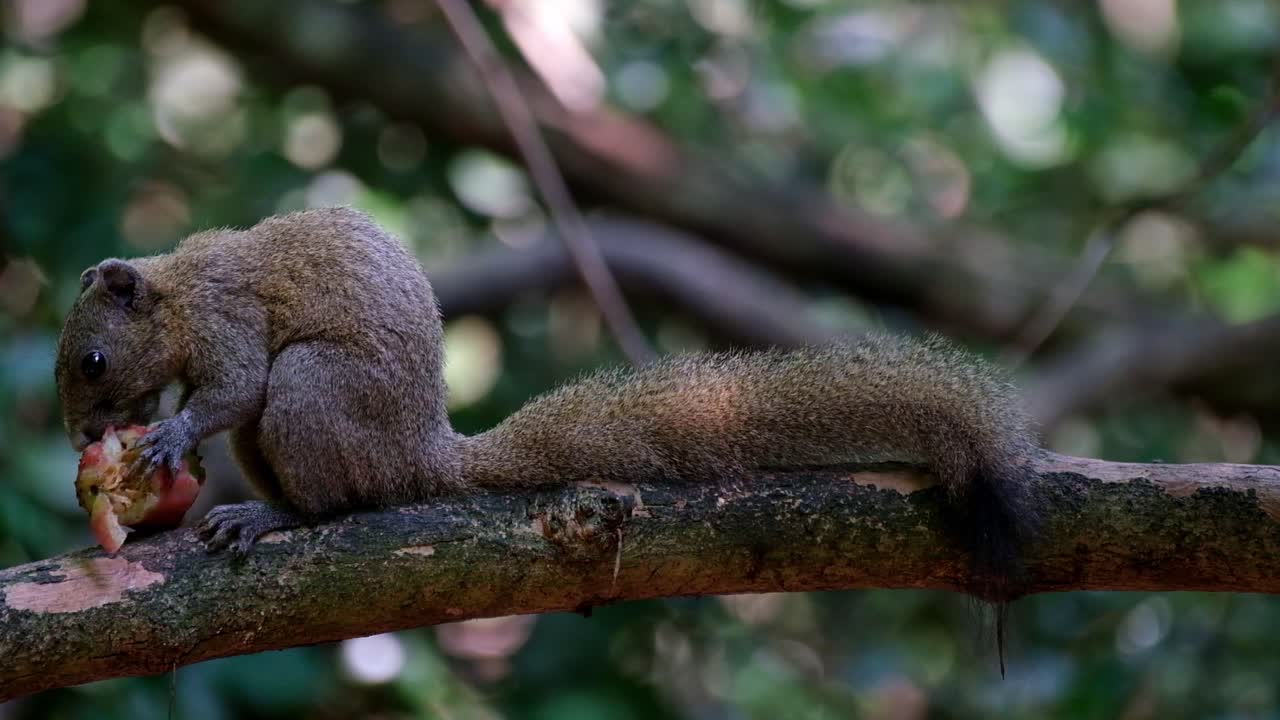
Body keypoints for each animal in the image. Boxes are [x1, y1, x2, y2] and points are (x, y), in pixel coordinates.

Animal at [56, 207, 1040, 653]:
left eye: (93, 361)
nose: (80, 437)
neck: (178, 291)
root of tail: (422, 453)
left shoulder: (229, 322)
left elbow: (231, 390)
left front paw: (171, 440)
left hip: (310, 394)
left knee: (336, 501)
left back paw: (274, 518)